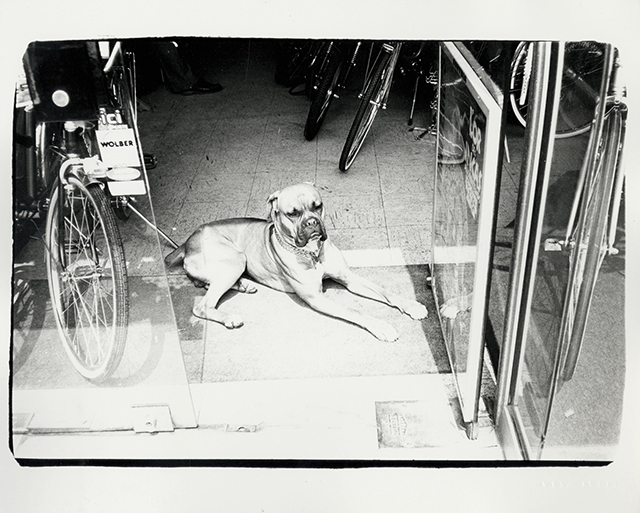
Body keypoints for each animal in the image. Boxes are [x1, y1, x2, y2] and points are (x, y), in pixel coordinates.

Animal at [165, 182, 428, 342]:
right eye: (292, 213)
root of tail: (187, 241)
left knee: (207, 284)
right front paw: (382, 327)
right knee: (202, 305)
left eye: (317, 206)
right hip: (234, 259)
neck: (311, 252)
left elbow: (385, 292)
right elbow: (354, 310)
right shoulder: (316, 297)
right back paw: (229, 317)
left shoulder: (349, 278)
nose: (312, 223)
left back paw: (244, 285)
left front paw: (412, 306)